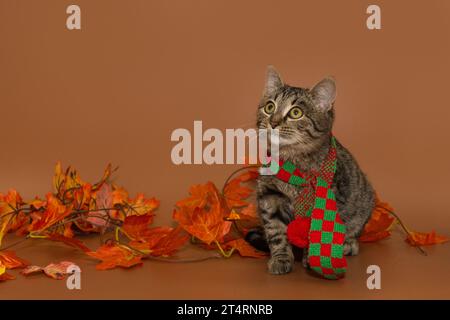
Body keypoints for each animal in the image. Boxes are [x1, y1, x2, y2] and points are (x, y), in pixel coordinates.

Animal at [246, 65, 376, 276]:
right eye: (269, 107)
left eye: (296, 112)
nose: (273, 122)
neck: (293, 161)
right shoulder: (269, 196)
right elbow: (276, 232)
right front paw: (281, 258)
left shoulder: (331, 200)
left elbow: (318, 232)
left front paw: (312, 260)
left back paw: (347, 245)